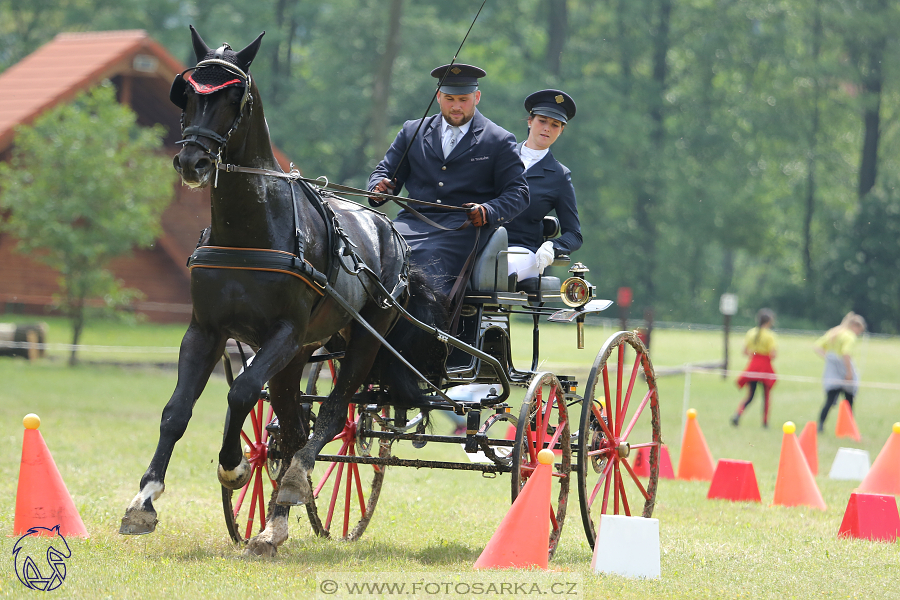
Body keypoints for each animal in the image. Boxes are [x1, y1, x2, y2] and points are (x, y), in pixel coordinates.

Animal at [118, 27, 442, 552]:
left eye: (235, 96)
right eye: (188, 93)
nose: (192, 161)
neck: (248, 230)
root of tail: (389, 231)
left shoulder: (285, 332)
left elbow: (241, 392)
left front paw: (233, 467)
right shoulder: (206, 330)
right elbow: (176, 410)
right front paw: (144, 500)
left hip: (362, 339)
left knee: (333, 416)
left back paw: (290, 486)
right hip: (302, 354)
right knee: (291, 429)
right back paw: (275, 522)